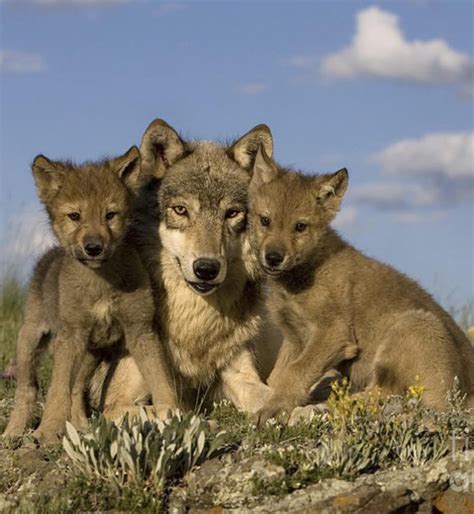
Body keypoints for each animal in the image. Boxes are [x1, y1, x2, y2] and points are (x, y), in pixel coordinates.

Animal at [90, 120, 276, 416]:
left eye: (232, 214)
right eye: (181, 210)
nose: (207, 268)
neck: (193, 323)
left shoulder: (239, 372)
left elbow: (275, 395)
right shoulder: (114, 403)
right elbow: (168, 409)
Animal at [246, 147, 472, 420]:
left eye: (300, 226)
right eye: (265, 220)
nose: (273, 257)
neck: (303, 276)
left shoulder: (334, 332)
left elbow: (295, 372)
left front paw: (274, 407)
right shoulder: (293, 337)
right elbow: (277, 376)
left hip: (414, 324)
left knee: (388, 395)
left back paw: (326, 406)